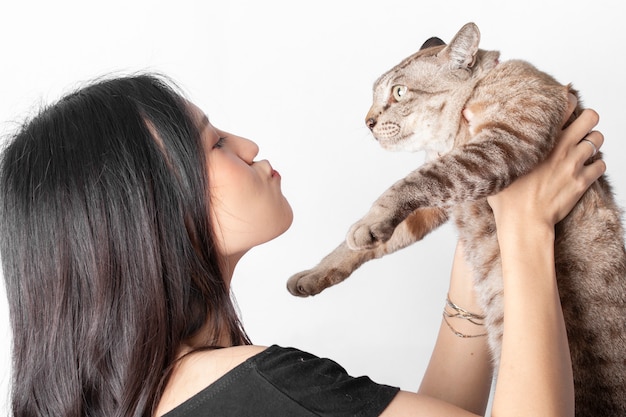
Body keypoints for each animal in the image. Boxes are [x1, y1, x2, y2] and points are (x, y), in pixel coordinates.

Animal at [288, 23, 624, 416]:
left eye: (399, 92)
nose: (367, 122)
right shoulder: (436, 206)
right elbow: (362, 244)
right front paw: (313, 274)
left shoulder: (498, 147)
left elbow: (408, 184)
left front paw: (366, 224)